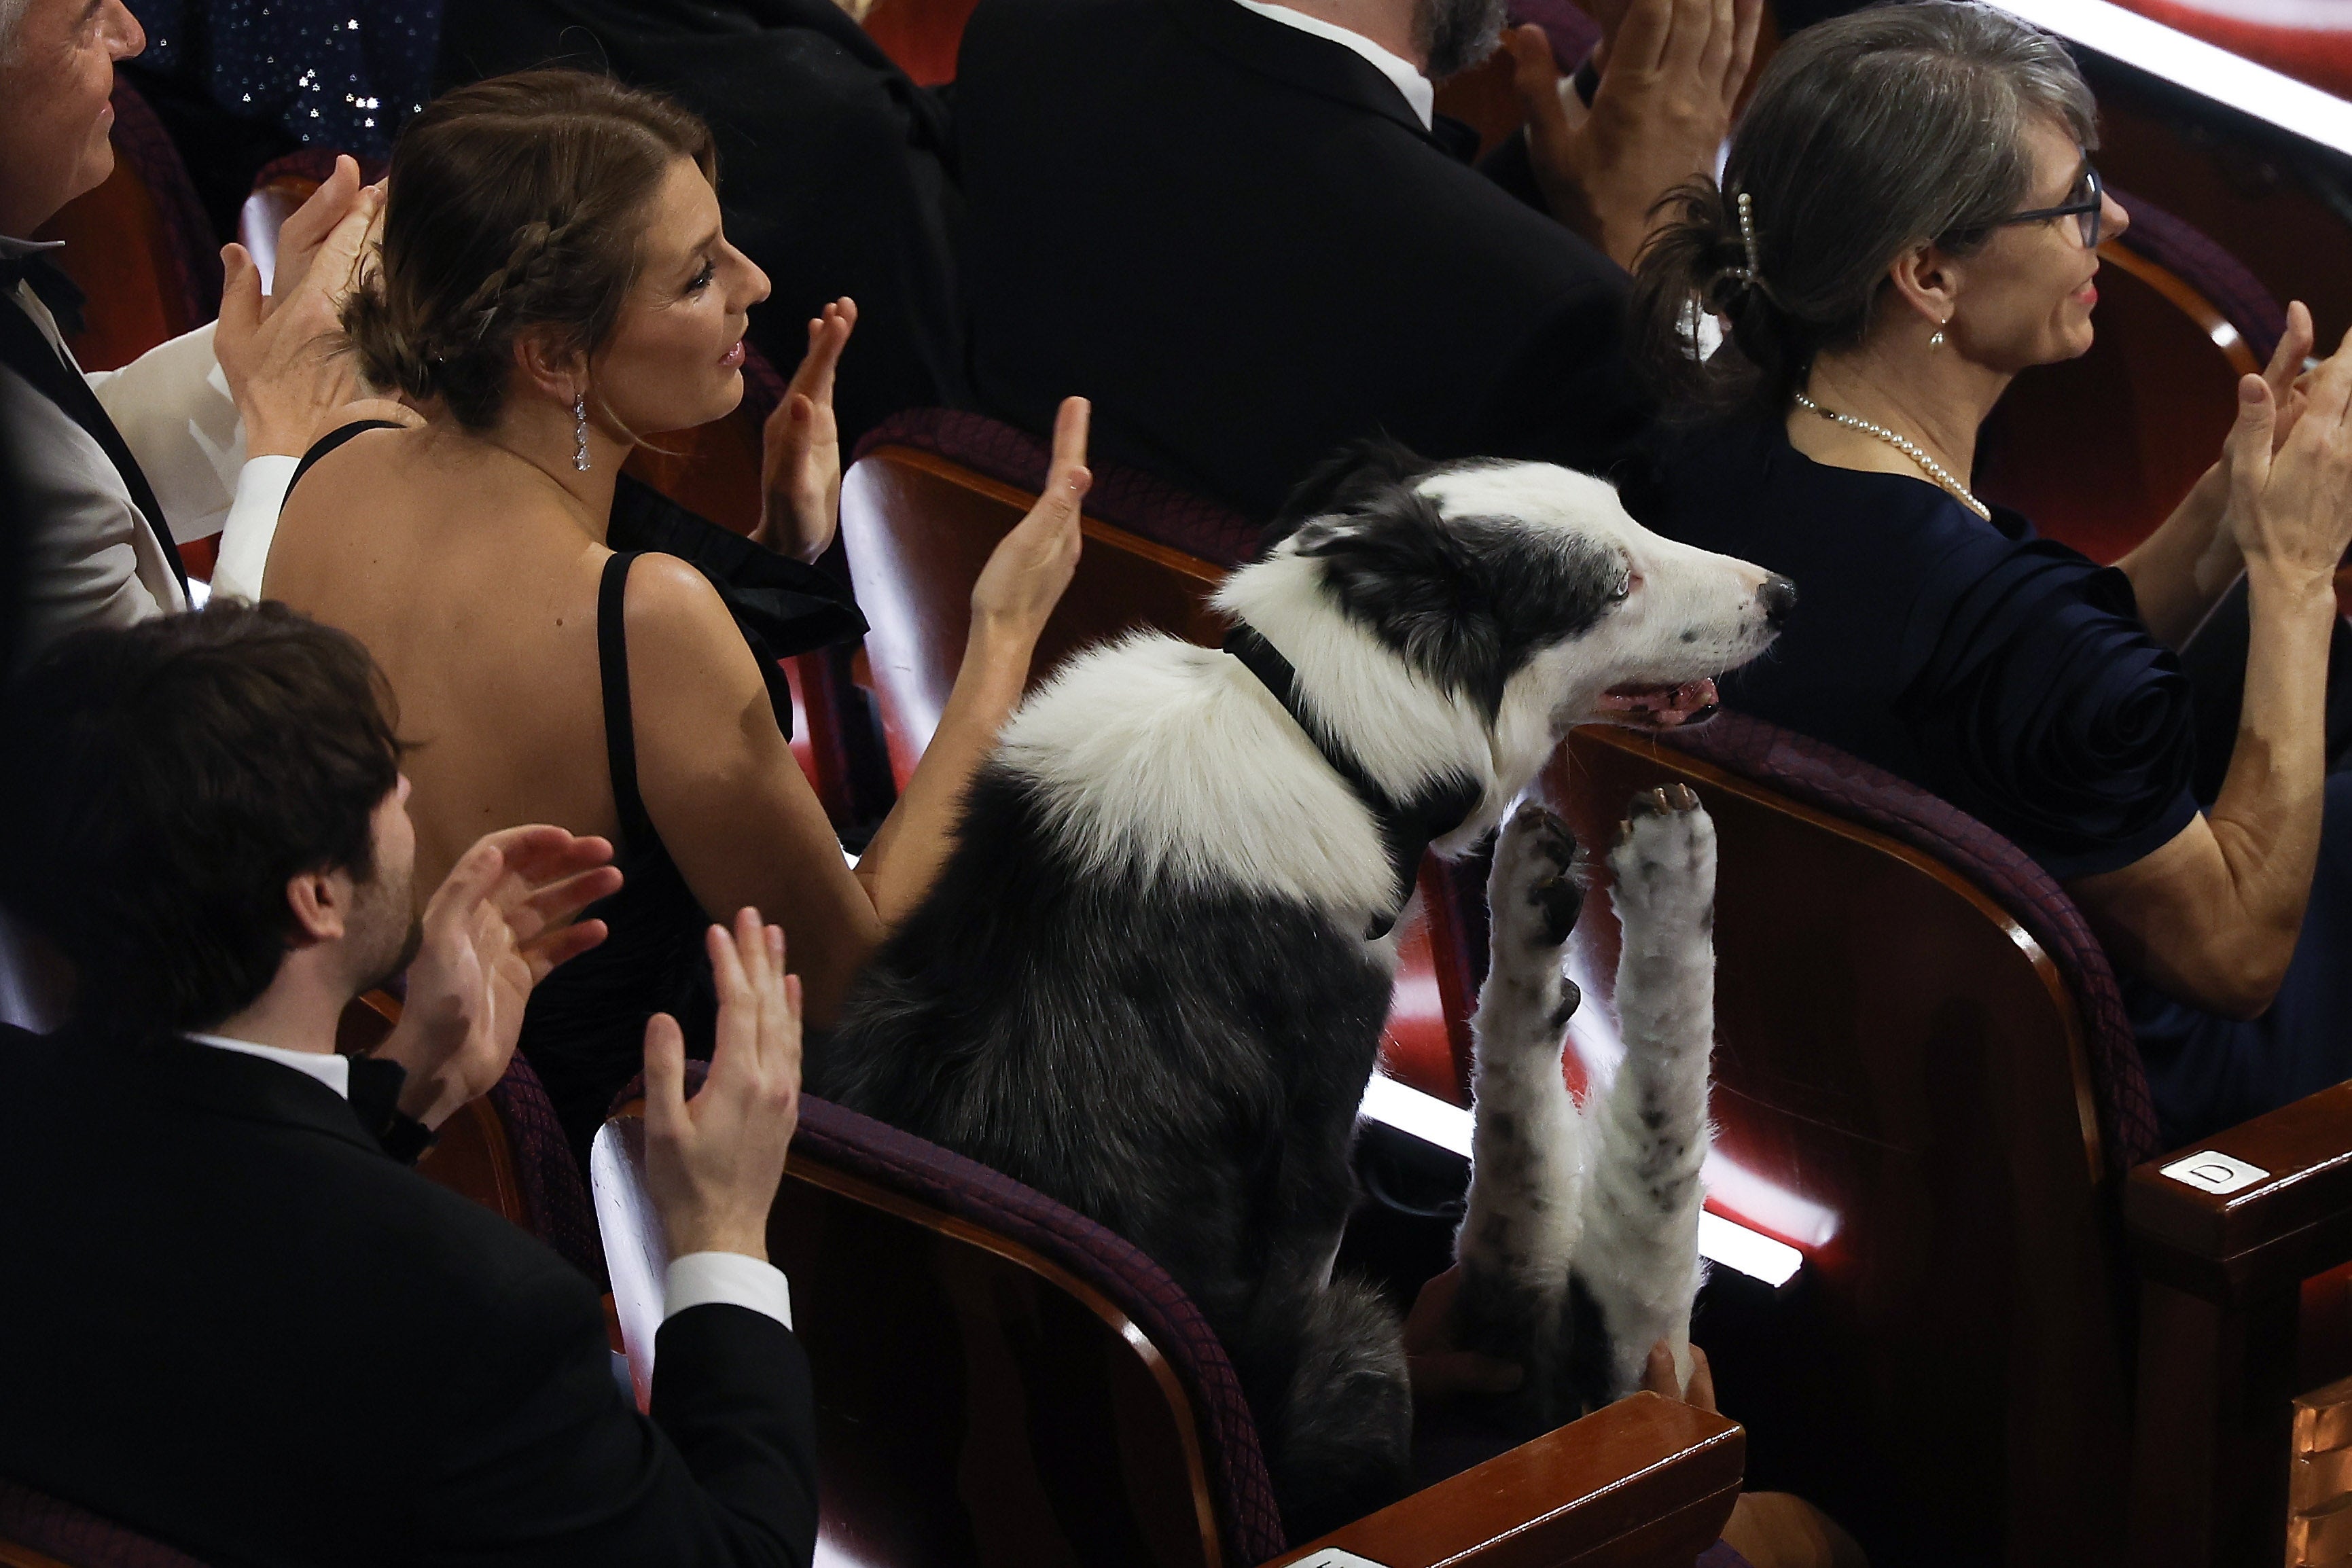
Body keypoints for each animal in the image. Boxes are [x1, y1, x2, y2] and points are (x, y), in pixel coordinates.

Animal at [818, 440, 1787, 1533]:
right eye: (1617, 584)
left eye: (1632, 513)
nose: (1785, 595)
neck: (1316, 736)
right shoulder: (1318, 1188)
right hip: (1370, 1343)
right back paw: (1662, 880)